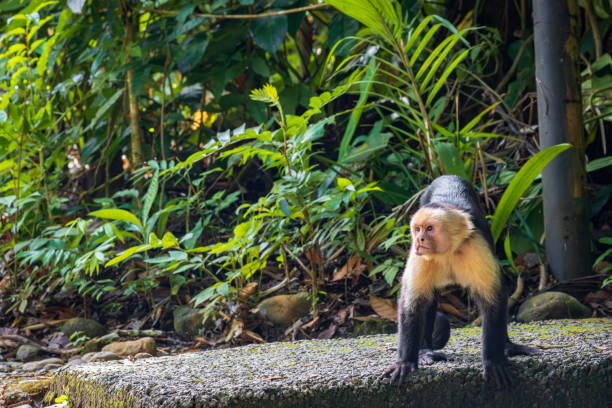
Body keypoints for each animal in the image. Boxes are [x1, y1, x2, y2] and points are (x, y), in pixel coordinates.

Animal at [384, 175, 536, 386]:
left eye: (430, 229)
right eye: (418, 229)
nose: (419, 239)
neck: (447, 252)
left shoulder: (476, 245)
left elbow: (493, 300)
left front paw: (493, 360)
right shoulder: (419, 256)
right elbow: (412, 305)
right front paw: (405, 362)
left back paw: (508, 346)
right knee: (428, 300)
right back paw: (425, 351)